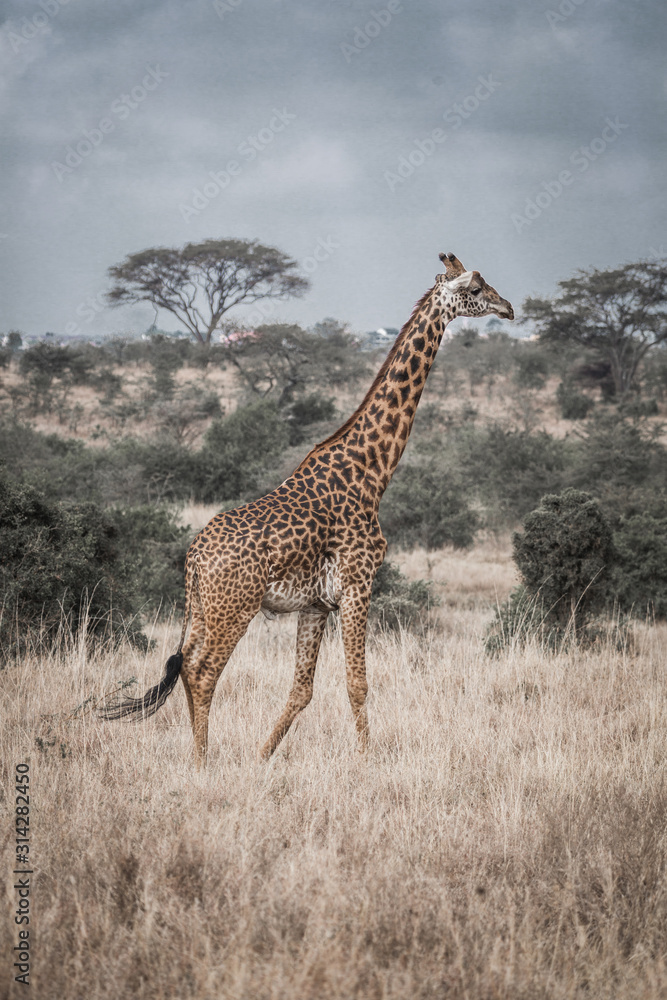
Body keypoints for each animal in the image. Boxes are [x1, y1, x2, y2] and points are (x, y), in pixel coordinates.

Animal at [101, 252, 513, 766]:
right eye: (476, 288)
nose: (508, 308)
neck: (371, 472)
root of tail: (194, 558)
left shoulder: (316, 604)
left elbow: (301, 690)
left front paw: (262, 757)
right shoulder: (358, 584)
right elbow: (357, 683)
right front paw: (366, 760)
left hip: (202, 608)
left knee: (184, 665)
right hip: (234, 608)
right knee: (202, 671)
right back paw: (200, 760)